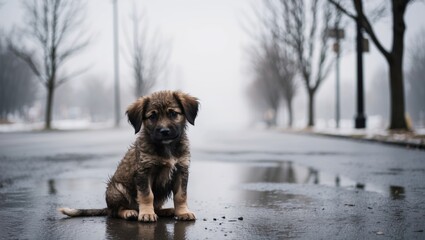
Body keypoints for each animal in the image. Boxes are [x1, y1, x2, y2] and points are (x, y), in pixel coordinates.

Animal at [58, 91, 199, 222]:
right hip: (117, 189)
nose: (164, 131)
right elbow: (147, 195)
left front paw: (183, 212)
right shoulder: (144, 172)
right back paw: (129, 212)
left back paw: (167, 210)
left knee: (156, 208)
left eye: (173, 113)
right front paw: (147, 213)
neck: (167, 147)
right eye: (152, 116)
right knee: (116, 211)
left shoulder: (181, 170)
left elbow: (181, 195)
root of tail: (108, 207)